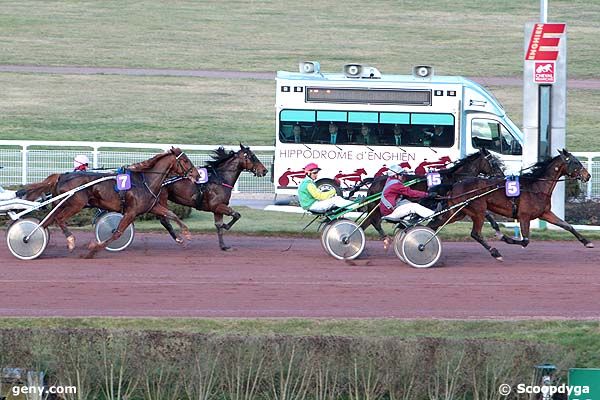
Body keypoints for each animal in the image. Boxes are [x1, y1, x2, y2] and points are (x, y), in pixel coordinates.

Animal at [21, 148, 199, 258]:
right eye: (185, 160)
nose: (197, 175)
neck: (145, 181)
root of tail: (62, 176)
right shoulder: (131, 212)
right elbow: (117, 232)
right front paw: (93, 250)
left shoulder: (153, 206)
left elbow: (171, 215)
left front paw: (186, 235)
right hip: (75, 204)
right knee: (58, 219)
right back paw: (61, 241)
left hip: (63, 204)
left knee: (47, 221)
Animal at [352, 148, 506, 239]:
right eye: (493, 161)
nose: (501, 175)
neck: (456, 178)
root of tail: (375, 180)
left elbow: (487, 214)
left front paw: (497, 229)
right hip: (377, 208)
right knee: (373, 222)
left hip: (375, 209)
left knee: (367, 223)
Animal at [432, 149, 592, 260]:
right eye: (575, 162)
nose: (588, 175)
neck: (536, 187)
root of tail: (455, 185)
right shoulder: (524, 216)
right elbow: (525, 241)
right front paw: (504, 237)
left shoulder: (545, 213)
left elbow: (567, 226)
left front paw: (587, 242)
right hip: (478, 211)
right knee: (475, 233)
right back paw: (495, 253)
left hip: (458, 212)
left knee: (434, 224)